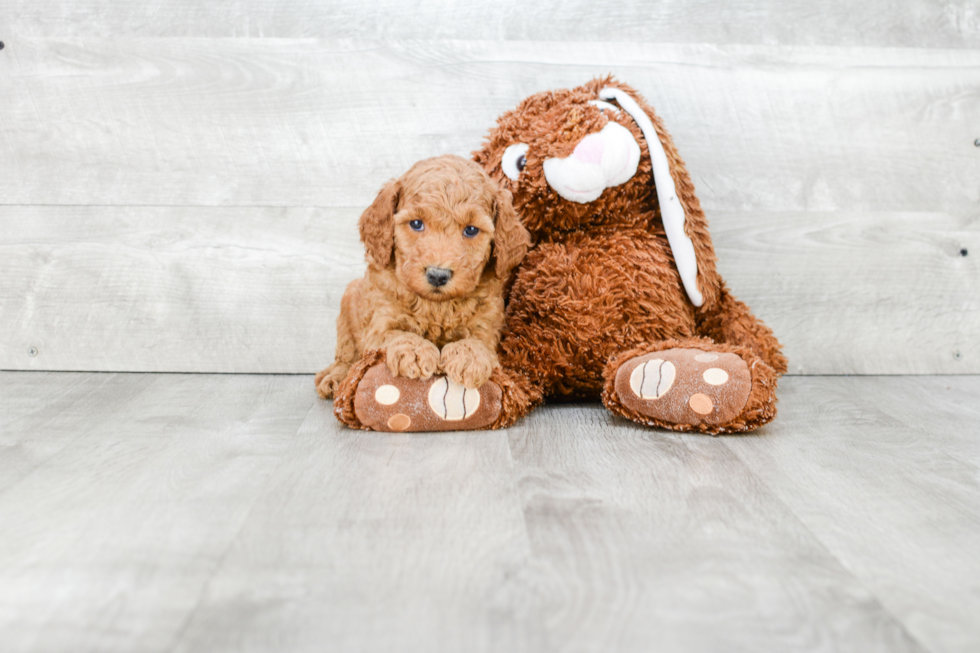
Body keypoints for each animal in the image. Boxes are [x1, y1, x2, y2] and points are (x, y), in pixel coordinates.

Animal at [316, 152, 528, 428]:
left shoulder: (487, 325)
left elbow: (478, 342)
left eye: (471, 230)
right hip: (349, 299)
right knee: (346, 356)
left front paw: (468, 358)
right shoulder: (379, 325)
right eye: (416, 224)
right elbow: (395, 334)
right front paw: (414, 351)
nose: (438, 275)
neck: (436, 307)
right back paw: (334, 377)